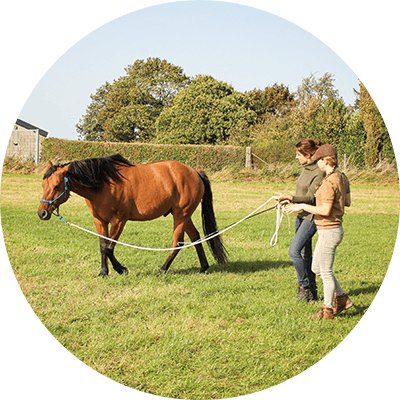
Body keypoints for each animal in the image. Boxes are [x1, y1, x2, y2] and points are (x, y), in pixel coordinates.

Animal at [38, 154, 228, 276]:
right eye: (43, 185)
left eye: (56, 186)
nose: (42, 212)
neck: (104, 184)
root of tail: (195, 172)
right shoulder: (99, 221)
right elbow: (103, 246)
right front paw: (103, 272)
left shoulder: (119, 221)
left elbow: (109, 248)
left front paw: (121, 269)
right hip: (183, 215)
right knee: (195, 237)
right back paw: (203, 268)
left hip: (181, 215)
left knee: (178, 242)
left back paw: (162, 270)